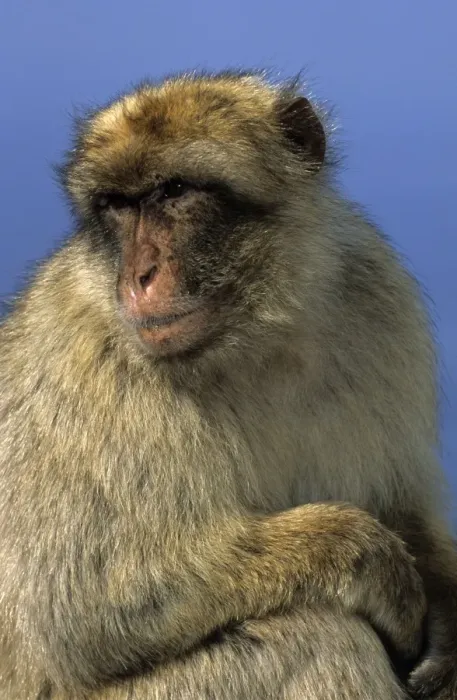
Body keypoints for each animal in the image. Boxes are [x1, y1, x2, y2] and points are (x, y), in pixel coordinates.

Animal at [0, 69, 456, 700]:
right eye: (117, 205)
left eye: (173, 192)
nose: (137, 277)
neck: (250, 337)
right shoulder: (84, 361)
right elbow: (83, 609)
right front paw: (370, 560)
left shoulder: (376, 294)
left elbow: (403, 499)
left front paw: (448, 617)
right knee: (316, 635)